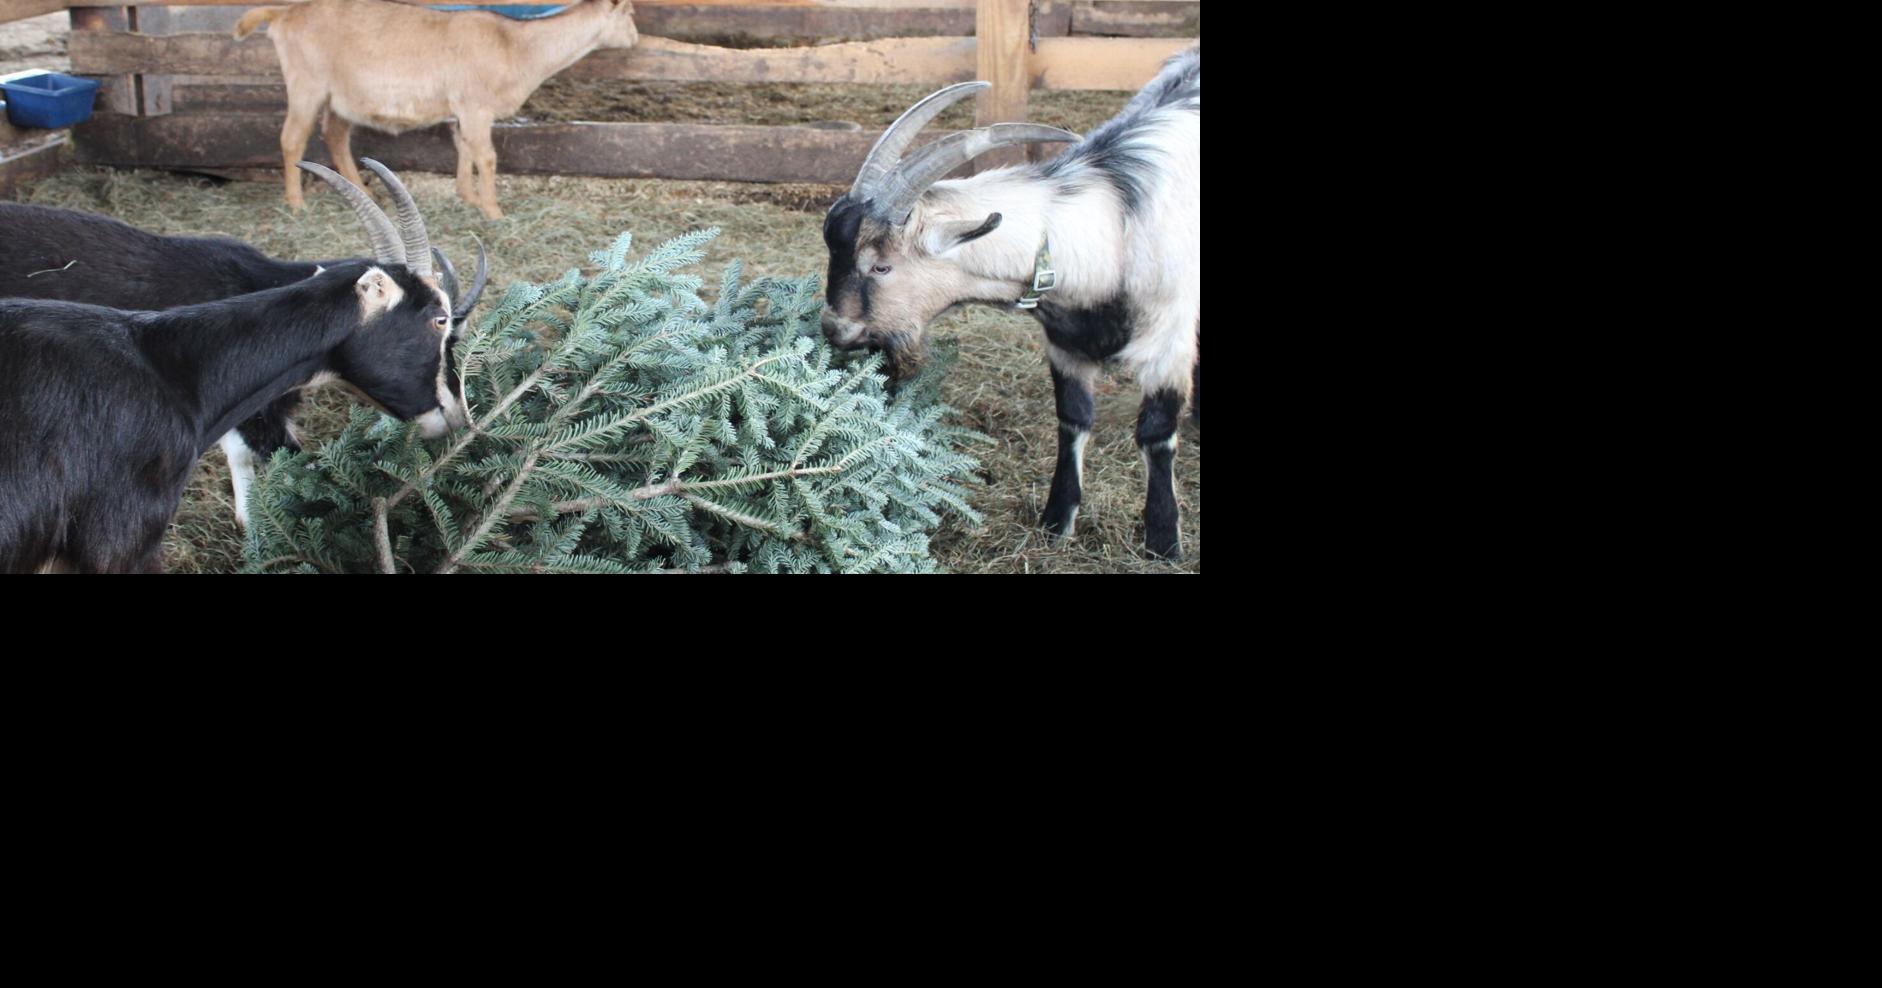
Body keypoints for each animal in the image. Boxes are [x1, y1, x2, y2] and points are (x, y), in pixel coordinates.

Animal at [235, 0, 640, 219]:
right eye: (630, 13)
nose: (636, 38)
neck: (515, 45)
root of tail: (286, 14)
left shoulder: (463, 108)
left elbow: (465, 148)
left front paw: (467, 196)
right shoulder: (476, 105)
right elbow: (486, 156)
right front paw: (492, 210)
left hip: (341, 96)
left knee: (335, 136)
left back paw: (362, 192)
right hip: (307, 84)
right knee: (293, 138)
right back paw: (296, 203)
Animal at [820, 49, 1201, 560]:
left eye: (881, 266)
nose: (834, 327)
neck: (1114, 230)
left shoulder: (1168, 342)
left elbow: (1156, 434)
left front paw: (1163, 541)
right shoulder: (1066, 344)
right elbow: (1072, 419)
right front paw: (1057, 521)